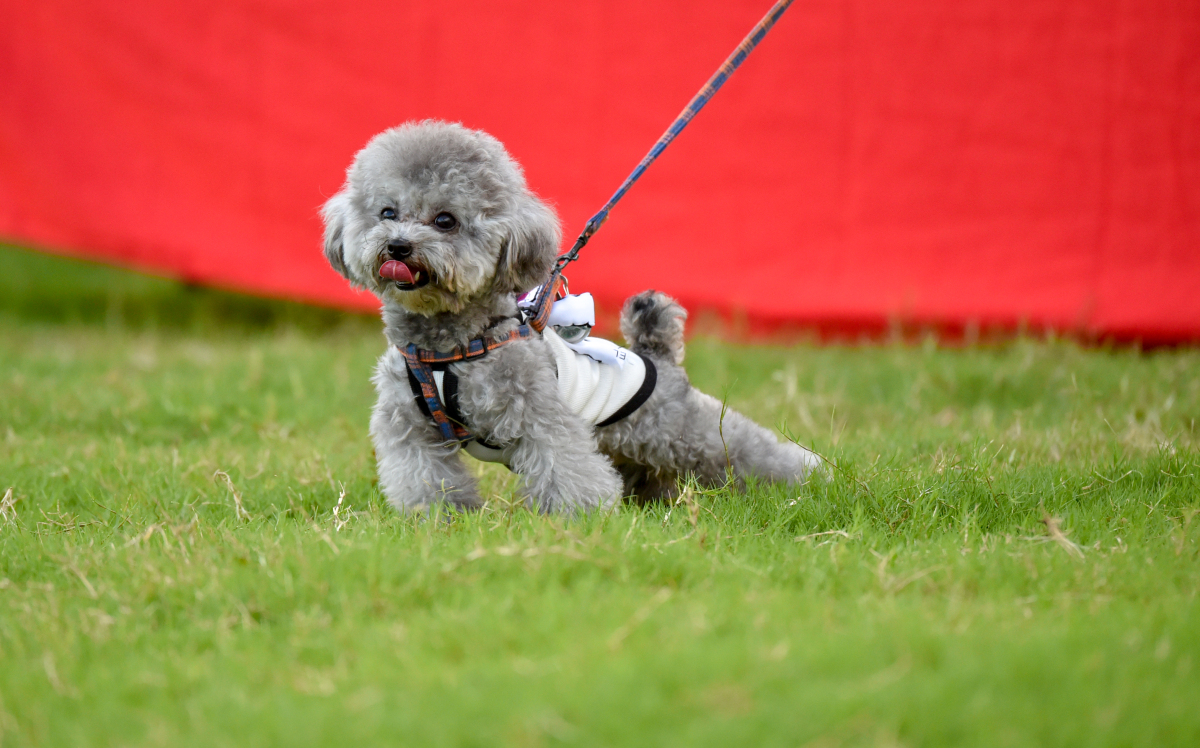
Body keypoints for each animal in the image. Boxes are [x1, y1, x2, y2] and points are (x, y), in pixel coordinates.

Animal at [321, 120, 825, 513]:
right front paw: (440, 520)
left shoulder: (538, 415)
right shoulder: (408, 429)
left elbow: (564, 467)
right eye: (387, 212)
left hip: (682, 427)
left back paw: (807, 478)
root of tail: (656, 354)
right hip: (636, 444)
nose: (398, 248)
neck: (448, 352)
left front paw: (579, 519)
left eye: (445, 220)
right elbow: (426, 479)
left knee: (748, 450)